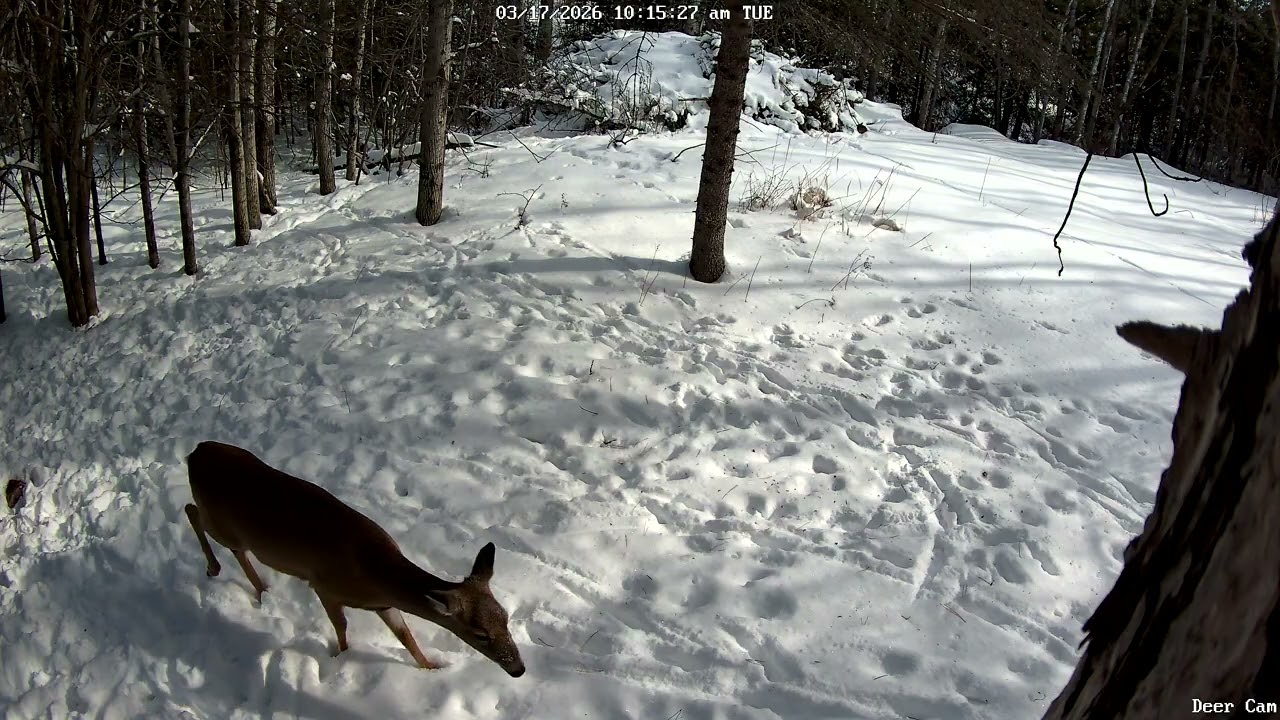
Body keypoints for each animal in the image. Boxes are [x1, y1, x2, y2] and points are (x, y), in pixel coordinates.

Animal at [182, 440, 526, 678]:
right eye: (480, 634)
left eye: (506, 618)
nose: (519, 669)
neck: (373, 571)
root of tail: (195, 453)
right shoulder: (324, 586)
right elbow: (342, 626)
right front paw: (340, 659)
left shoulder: (385, 604)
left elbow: (406, 637)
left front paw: (433, 668)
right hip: (221, 523)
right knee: (192, 511)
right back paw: (214, 568)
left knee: (227, 540)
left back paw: (261, 589)